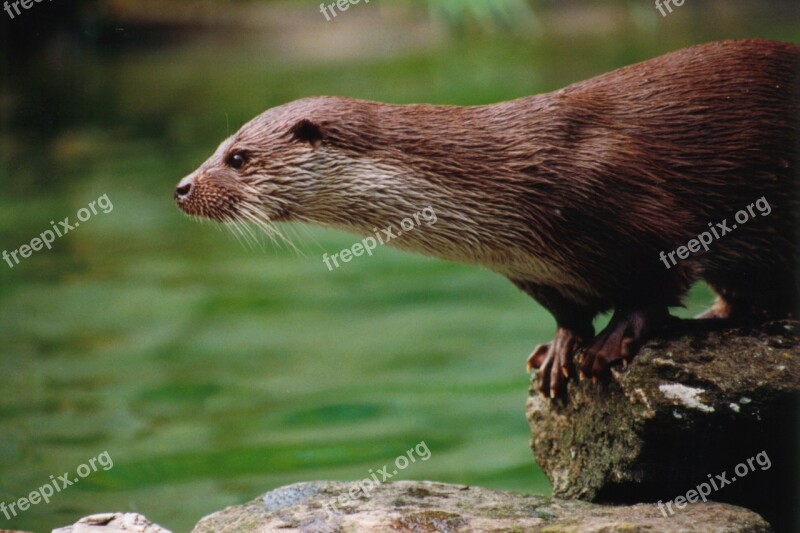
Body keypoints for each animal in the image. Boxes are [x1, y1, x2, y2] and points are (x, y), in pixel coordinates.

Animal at [175, 40, 800, 400]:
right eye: (217, 147)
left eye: (238, 157)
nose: (182, 188)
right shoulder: (530, 271)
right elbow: (569, 313)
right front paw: (559, 352)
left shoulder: (639, 205)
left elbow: (656, 286)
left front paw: (610, 344)